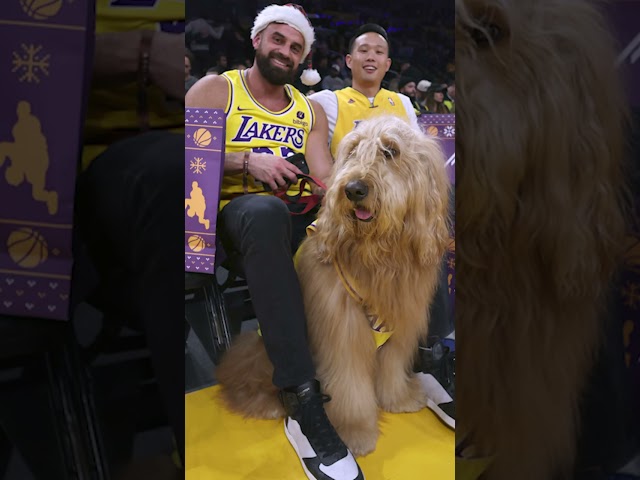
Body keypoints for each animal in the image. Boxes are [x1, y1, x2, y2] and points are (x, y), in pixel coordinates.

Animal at [215, 114, 450, 456]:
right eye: (352, 150)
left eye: (390, 151)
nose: (353, 189)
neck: (377, 254)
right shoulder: (343, 330)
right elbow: (350, 385)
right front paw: (354, 432)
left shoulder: (400, 323)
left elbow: (392, 367)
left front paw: (399, 400)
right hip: (263, 353)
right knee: (247, 377)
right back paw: (269, 403)